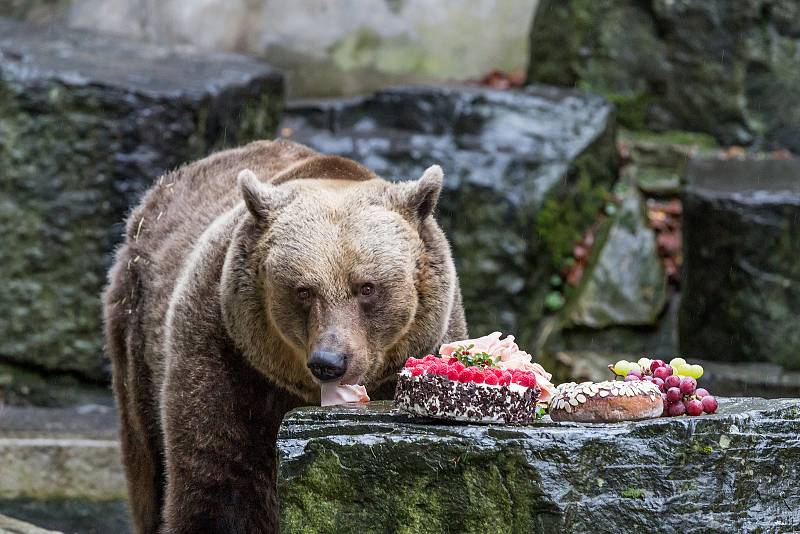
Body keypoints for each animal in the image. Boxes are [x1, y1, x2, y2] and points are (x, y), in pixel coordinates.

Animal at [105, 140, 468, 532]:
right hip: (135, 328)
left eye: (367, 287)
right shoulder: (225, 353)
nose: (329, 362)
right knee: (146, 465)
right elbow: (219, 481)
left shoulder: (423, 347)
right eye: (303, 290)